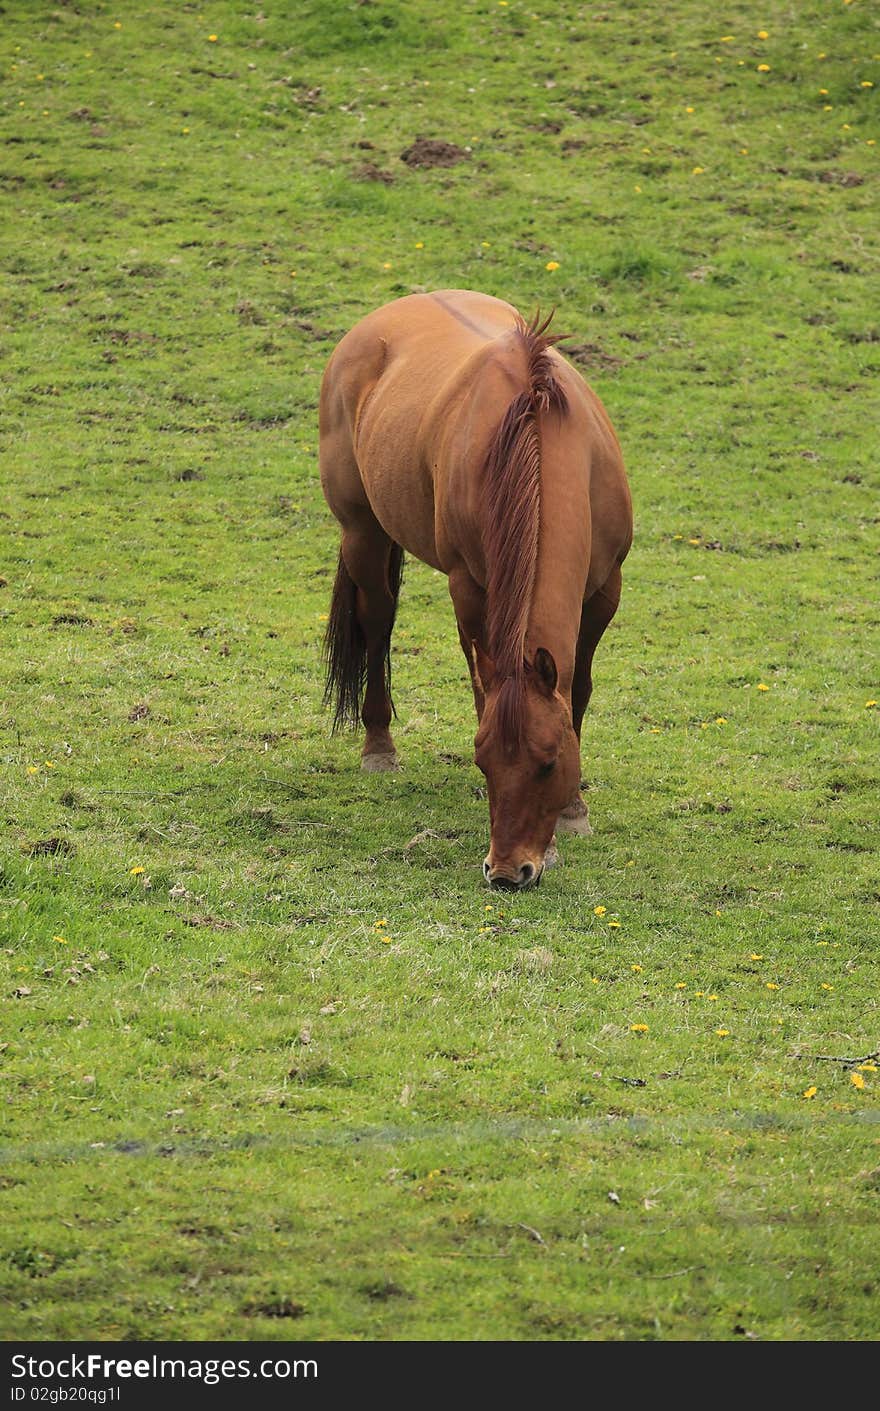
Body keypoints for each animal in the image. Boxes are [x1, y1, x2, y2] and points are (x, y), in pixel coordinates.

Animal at [320, 289, 628, 891]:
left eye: (550, 762)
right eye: (484, 761)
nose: (508, 872)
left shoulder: (606, 591)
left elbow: (577, 690)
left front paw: (574, 813)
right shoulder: (468, 587)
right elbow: (483, 691)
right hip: (362, 531)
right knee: (377, 622)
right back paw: (378, 748)